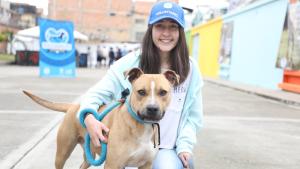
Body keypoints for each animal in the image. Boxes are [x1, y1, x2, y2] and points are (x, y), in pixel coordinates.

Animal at [23, 67, 179, 169]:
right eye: (141, 92)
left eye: (163, 92)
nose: (152, 108)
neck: (142, 125)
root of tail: (74, 106)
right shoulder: (113, 164)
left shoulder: (146, 165)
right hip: (63, 152)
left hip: (89, 153)